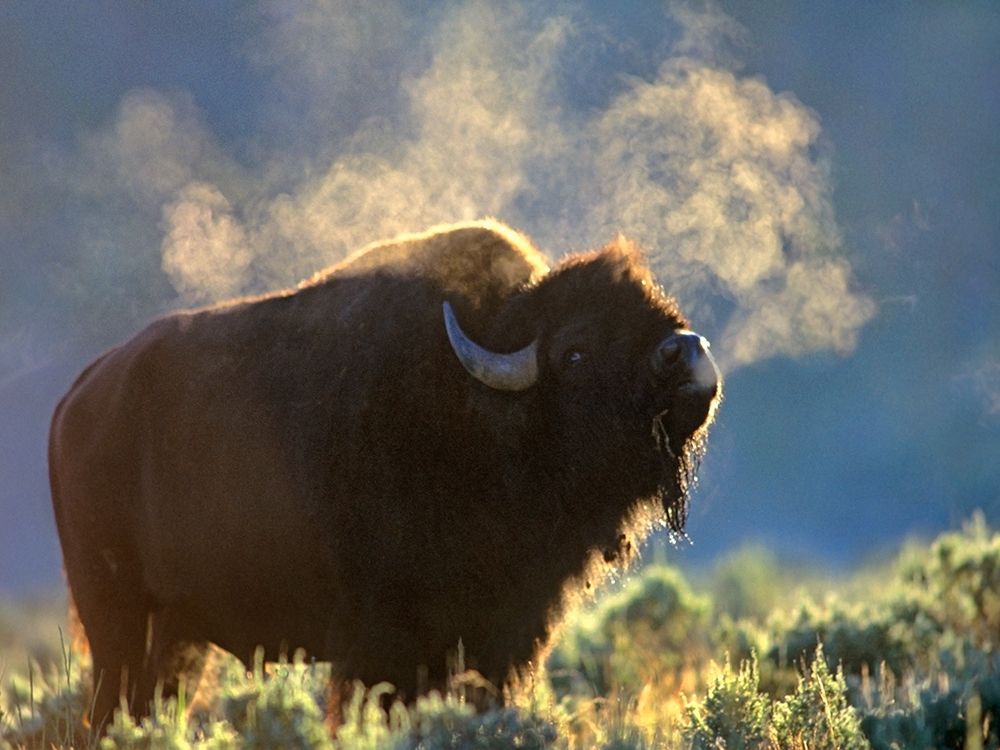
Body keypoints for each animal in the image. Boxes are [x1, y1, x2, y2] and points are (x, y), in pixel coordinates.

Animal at [49, 219, 721, 729]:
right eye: (574, 352)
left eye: (657, 309)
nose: (686, 351)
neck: (474, 409)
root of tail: (76, 400)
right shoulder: (384, 646)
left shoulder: (497, 639)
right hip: (116, 620)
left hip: (176, 634)